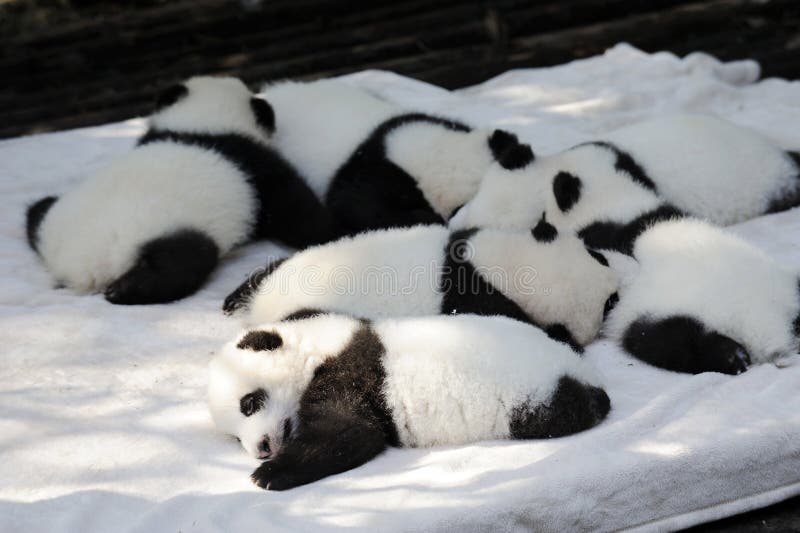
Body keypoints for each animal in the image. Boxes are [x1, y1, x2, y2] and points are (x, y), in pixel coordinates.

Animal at [25, 76, 337, 304]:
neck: (205, 122)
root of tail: (79, 268)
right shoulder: (255, 167)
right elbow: (293, 207)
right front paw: (328, 230)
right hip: (164, 233)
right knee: (183, 261)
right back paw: (125, 290)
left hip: (54, 219)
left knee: (36, 212)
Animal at [208, 312, 611, 490]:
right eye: (235, 437)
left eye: (248, 403)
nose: (261, 448)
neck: (315, 349)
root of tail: (583, 373)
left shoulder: (351, 373)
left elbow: (350, 433)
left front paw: (269, 475)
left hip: (533, 398)